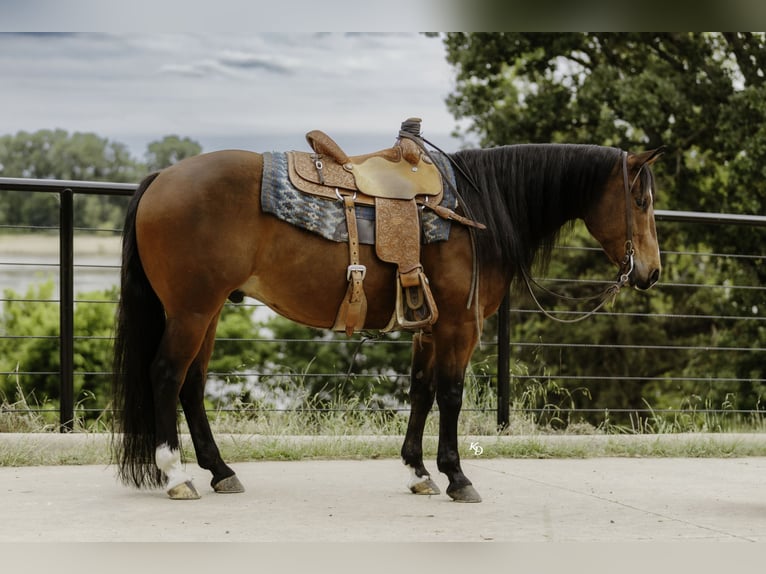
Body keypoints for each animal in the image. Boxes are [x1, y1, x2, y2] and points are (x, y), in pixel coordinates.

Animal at [112, 141, 663, 503]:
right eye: (641, 200)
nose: (651, 273)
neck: (477, 210)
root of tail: (161, 178)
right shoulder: (459, 326)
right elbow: (451, 394)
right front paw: (457, 476)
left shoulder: (428, 326)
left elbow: (420, 391)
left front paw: (418, 471)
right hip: (192, 310)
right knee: (166, 376)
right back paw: (175, 474)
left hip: (206, 311)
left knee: (191, 384)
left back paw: (220, 470)